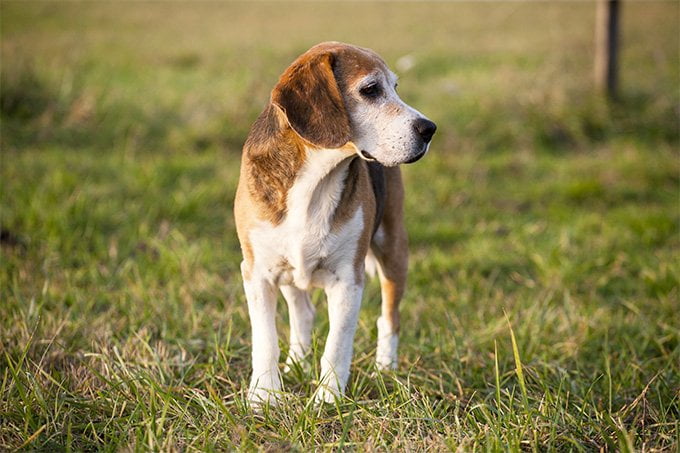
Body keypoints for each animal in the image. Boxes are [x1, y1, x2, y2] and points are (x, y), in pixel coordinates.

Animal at [234, 40, 436, 404]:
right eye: (371, 90)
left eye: (396, 87)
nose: (429, 129)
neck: (316, 179)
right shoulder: (256, 274)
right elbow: (265, 340)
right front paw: (264, 396)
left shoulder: (348, 279)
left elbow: (337, 343)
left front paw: (328, 398)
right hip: (288, 272)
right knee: (302, 314)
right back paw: (295, 364)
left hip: (394, 249)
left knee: (390, 318)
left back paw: (386, 369)